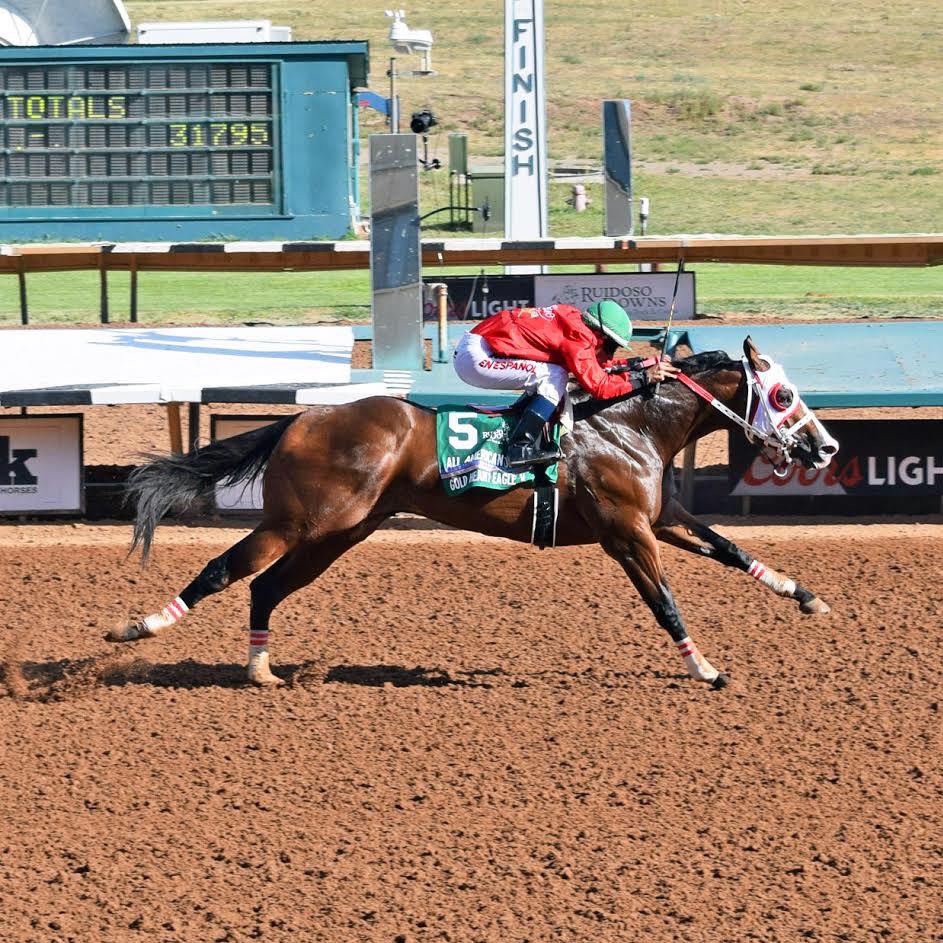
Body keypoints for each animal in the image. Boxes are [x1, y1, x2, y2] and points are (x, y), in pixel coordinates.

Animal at [109, 336, 838, 690]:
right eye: (781, 394)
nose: (825, 447)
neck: (628, 425)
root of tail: (299, 418)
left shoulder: (661, 518)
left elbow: (731, 549)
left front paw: (805, 596)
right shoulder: (628, 534)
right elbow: (665, 604)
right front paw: (705, 669)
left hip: (339, 533)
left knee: (264, 587)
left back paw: (261, 669)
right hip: (298, 522)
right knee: (223, 569)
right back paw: (138, 627)